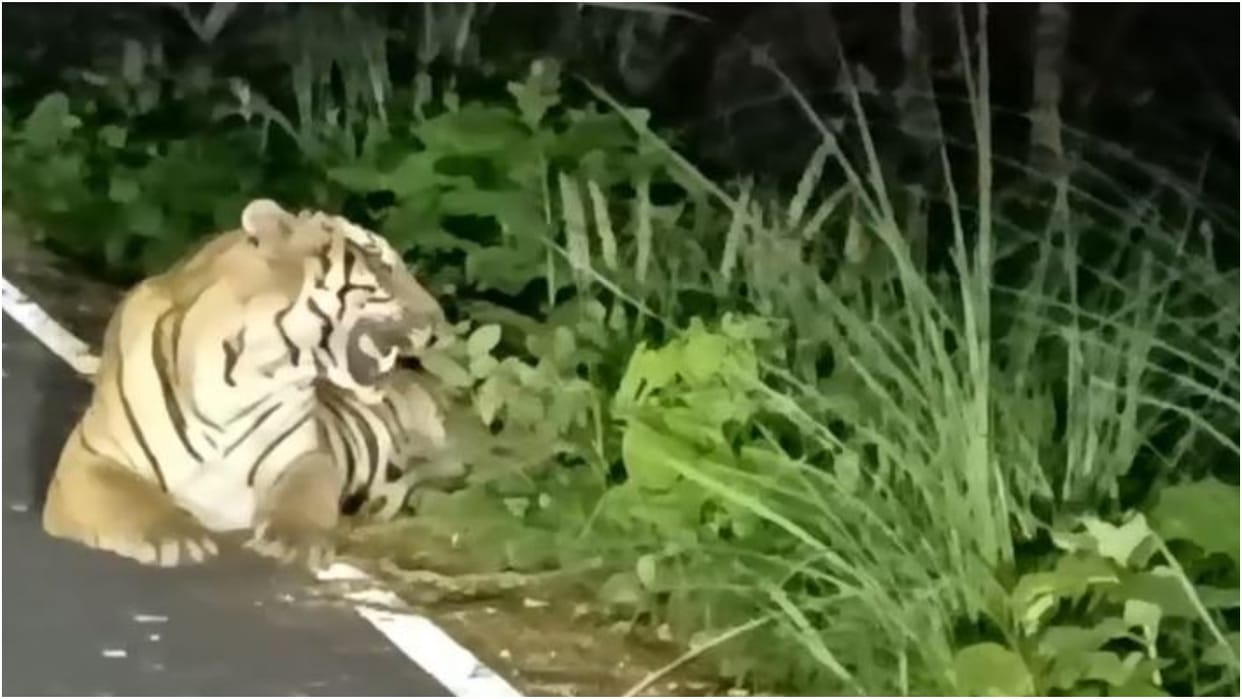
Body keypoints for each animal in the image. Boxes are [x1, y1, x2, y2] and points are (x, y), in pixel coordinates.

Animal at [41, 198, 453, 568]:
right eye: (379, 263)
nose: (440, 321)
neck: (246, 375)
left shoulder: (308, 455)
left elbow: (309, 492)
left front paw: (293, 541)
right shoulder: (90, 453)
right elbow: (128, 497)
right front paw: (173, 538)